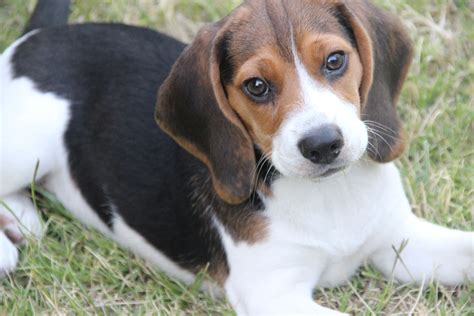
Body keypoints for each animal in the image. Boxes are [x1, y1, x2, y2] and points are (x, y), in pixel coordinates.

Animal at [0, 0, 474, 314]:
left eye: (335, 60)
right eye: (257, 86)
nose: (323, 144)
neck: (328, 196)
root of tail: (35, 38)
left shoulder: (397, 238)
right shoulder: (273, 295)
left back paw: (21, 219)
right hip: (27, 144)